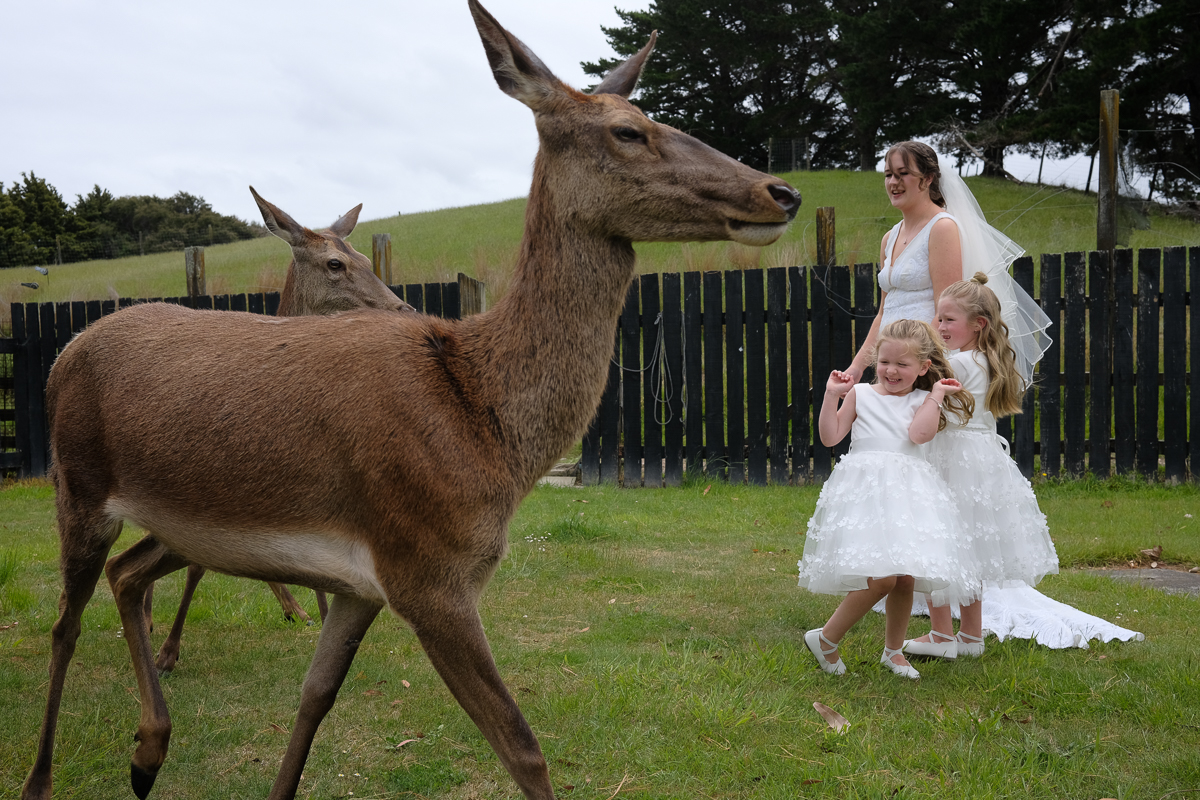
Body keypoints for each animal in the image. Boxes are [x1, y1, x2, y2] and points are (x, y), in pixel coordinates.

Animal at [146, 188, 414, 674]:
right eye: (334, 263)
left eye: (367, 257)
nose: (405, 309)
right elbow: (195, 566)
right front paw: (167, 653)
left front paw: (323, 617)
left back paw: (295, 610)